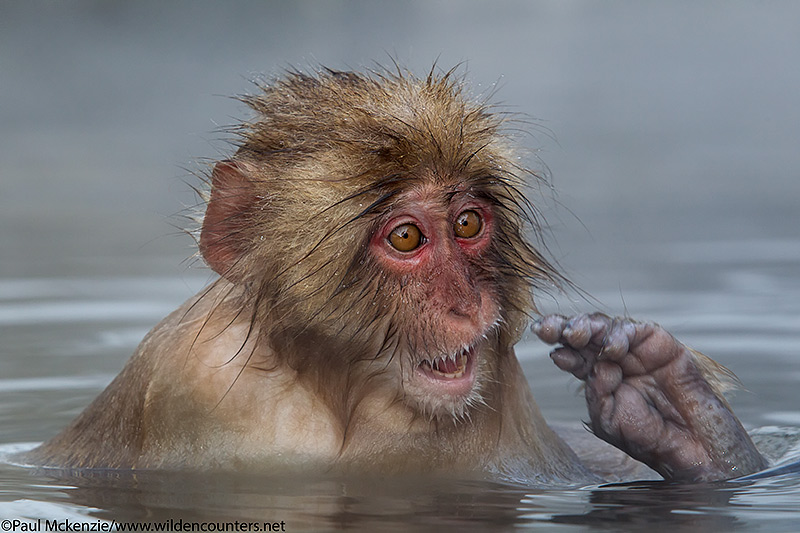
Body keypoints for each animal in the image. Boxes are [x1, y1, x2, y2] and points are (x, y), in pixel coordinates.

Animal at [29, 66, 768, 482]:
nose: (470, 306)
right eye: (406, 236)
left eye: (467, 224)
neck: (328, 382)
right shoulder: (206, 388)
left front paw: (668, 408)